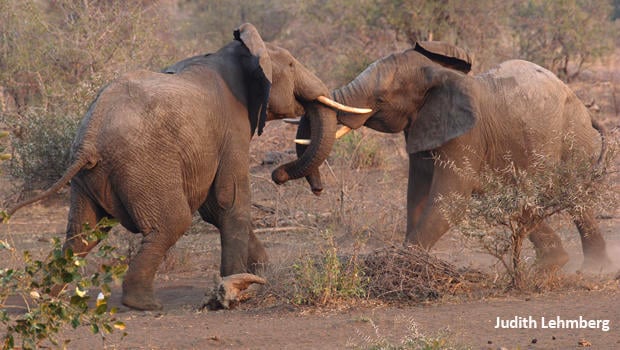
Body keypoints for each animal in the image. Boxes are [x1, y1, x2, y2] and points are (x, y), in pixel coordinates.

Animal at [7, 23, 366, 310]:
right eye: (291, 64)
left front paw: (262, 272)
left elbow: (214, 209)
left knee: (81, 234)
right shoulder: (232, 128)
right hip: (144, 167)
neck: (241, 51)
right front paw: (235, 288)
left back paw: (45, 296)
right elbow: (229, 200)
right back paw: (144, 305)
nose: (280, 176)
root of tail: (90, 137)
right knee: (171, 222)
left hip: (89, 178)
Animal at [290, 41, 612, 270]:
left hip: (572, 134)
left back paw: (593, 270)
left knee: (575, 196)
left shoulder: (466, 134)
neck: (438, 74)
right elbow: (417, 196)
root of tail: (585, 109)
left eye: (379, 99)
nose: (318, 189)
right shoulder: (422, 127)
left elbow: (449, 201)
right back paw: (555, 264)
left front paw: (401, 264)